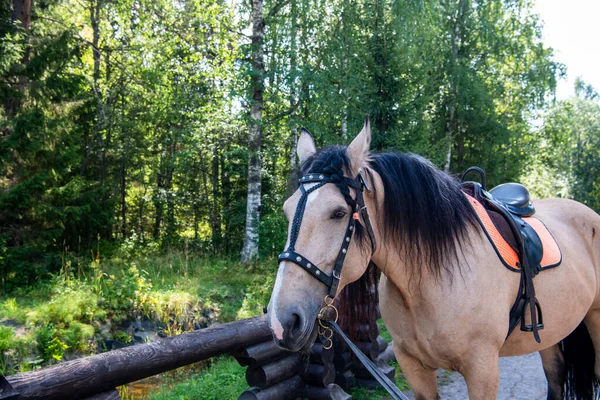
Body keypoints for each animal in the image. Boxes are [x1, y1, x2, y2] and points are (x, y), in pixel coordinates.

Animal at [268, 119, 600, 400]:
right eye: (286, 210)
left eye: (338, 213)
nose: (281, 322)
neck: (428, 285)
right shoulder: (414, 367)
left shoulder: (483, 371)